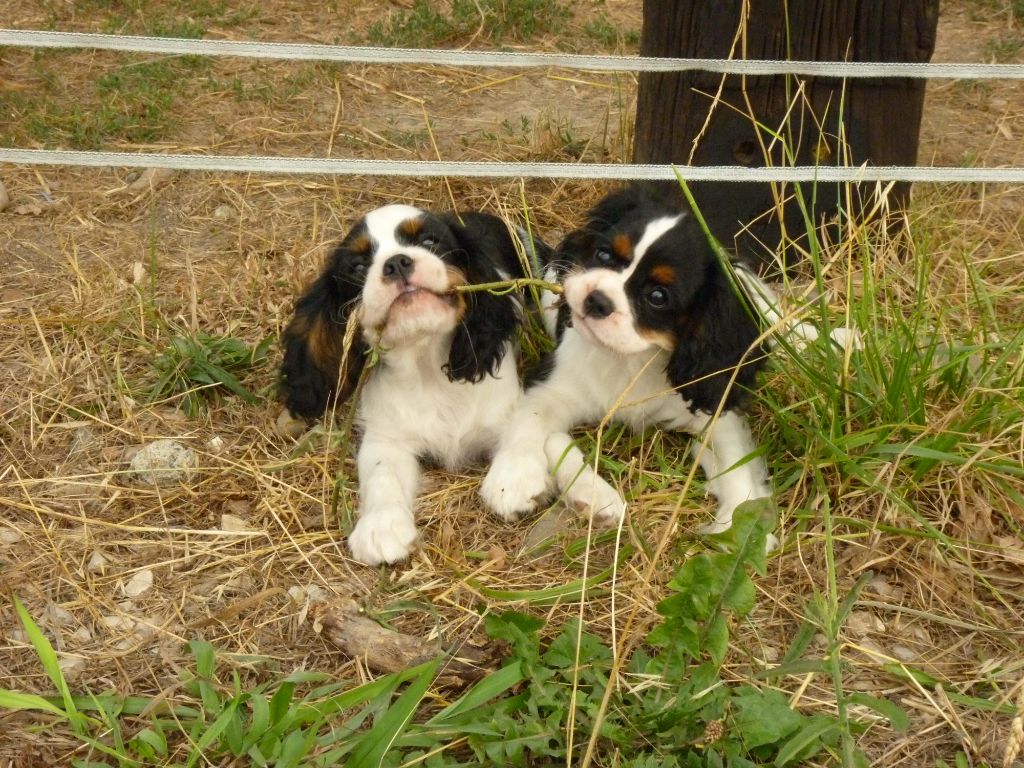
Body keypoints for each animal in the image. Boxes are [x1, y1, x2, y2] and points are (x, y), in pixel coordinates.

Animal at [276, 204, 540, 565]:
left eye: (429, 241)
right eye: (358, 267)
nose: (396, 262)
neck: (426, 364)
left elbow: (526, 430)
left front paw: (513, 480)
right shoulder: (386, 436)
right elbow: (382, 471)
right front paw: (381, 527)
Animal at [483, 187, 851, 540]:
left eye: (658, 297)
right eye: (603, 255)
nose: (597, 300)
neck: (631, 359)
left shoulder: (712, 402)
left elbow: (736, 462)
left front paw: (735, 525)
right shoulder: (552, 383)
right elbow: (529, 421)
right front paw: (513, 479)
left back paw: (832, 341)